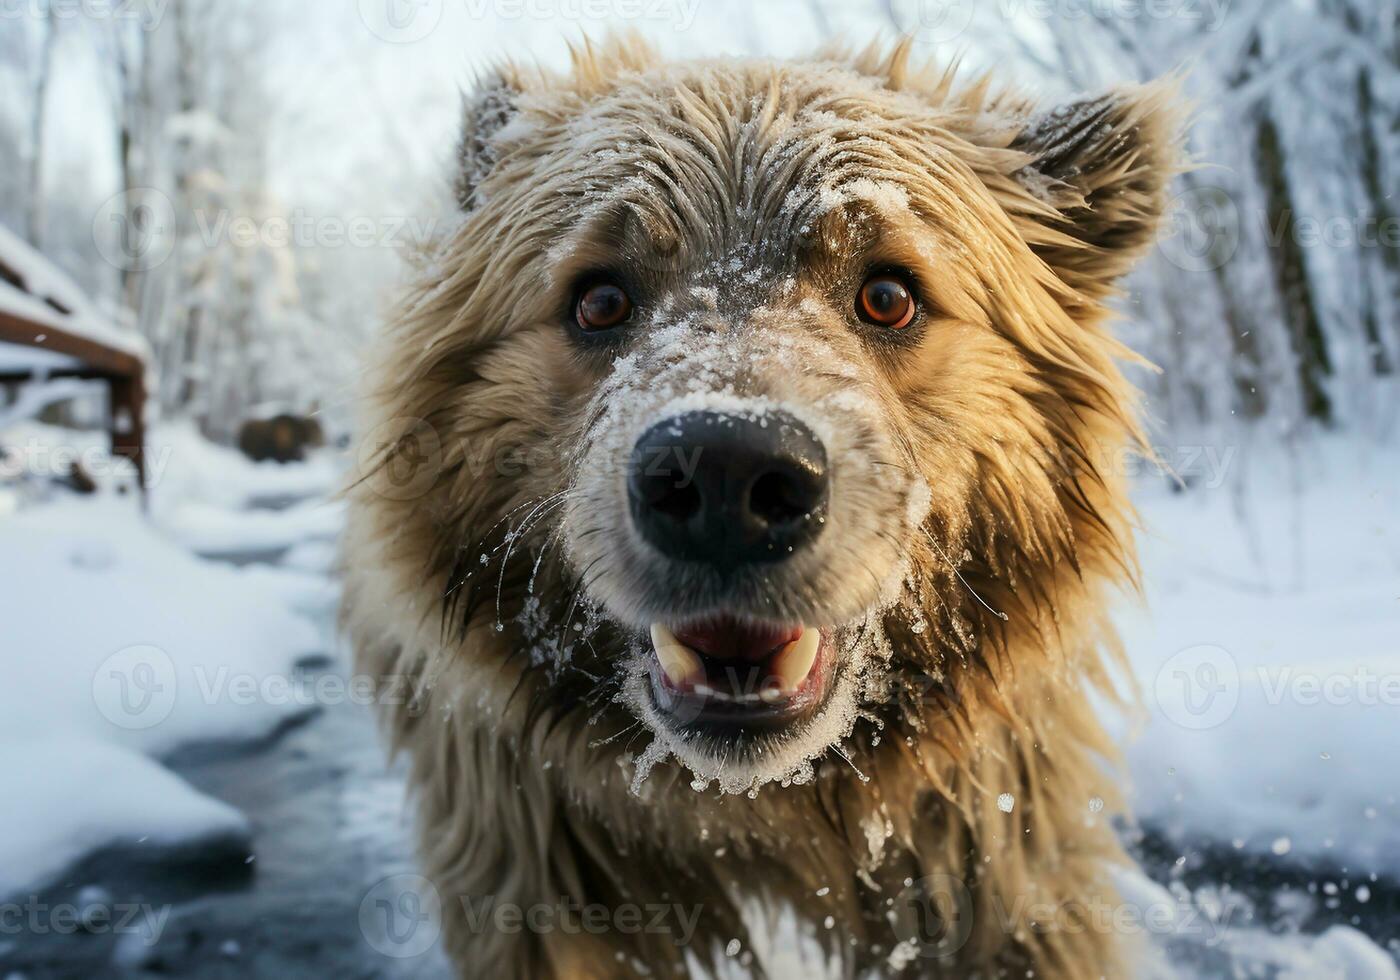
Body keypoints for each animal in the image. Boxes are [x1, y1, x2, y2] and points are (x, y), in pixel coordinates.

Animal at [338, 36, 1181, 980]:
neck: (758, 805)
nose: (726, 479)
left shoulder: (983, 815)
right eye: (599, 298)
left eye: (890, 293)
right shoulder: (538, 839)